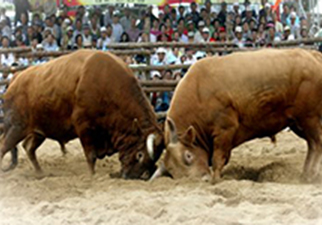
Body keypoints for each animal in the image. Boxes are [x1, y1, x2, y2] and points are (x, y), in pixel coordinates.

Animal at [0, 49, 164, 179]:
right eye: (140, 155)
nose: (140, 176)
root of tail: (15, 79)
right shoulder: (84, 128)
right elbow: (91, 156)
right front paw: (92, 175)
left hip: (38, 131)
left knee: (28, 147)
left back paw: (40, 173)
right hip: (16, 128)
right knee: (3, 146)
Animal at [152, 48, 322, 183]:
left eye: (188, 156)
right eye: (172, 171)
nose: (201, 179)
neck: (199, 91)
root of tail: (314, 56)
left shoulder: (224, 130)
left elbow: (217, 158)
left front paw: (216, 179)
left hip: (309, 119)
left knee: (317, 143)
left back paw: (312, 175)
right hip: (297, 123)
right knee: (312, 144)